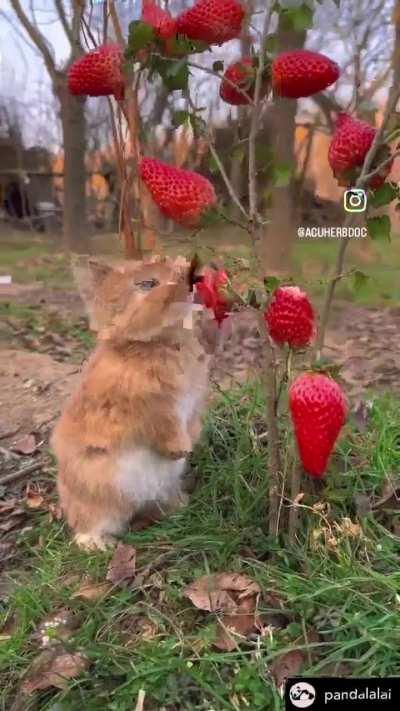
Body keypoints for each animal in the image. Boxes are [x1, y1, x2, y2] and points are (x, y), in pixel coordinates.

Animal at [51, 256, 213, 550]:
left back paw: (180, 507)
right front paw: (180, 450)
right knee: (90, 523)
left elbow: (192, 423)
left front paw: (191, 443)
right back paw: (98, 544)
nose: (193, 278)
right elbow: (165, 429)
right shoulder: (152, 409)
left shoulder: (193, 402)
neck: (158, 342)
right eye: (147, 284)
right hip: (98, 496)